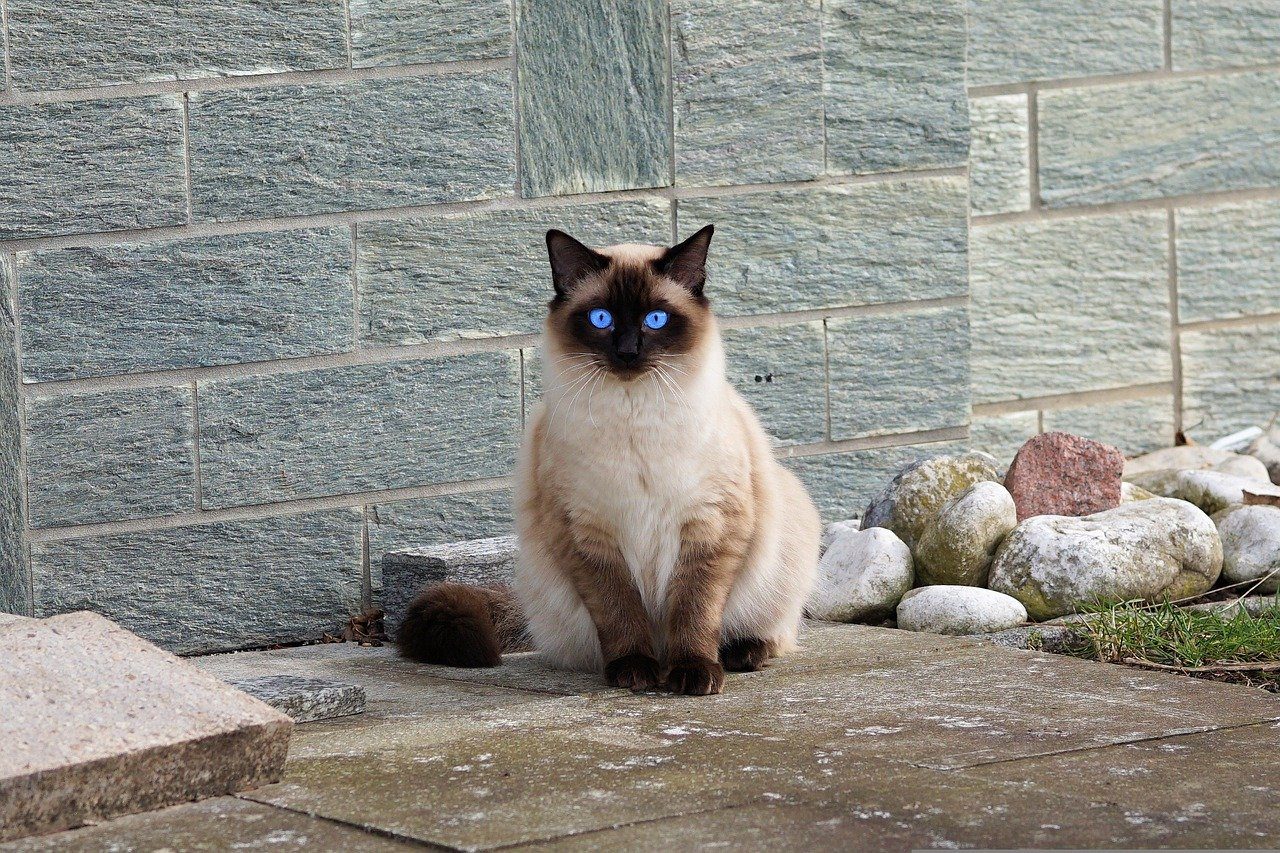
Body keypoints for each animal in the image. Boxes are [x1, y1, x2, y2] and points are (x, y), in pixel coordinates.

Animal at [399, 225, 819, 691]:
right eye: (601, 319)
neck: (632, 419)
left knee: (771, 631)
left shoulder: (709, 527)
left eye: (656, 319)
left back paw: (740, 653)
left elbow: (694, 611)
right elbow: (620, 612)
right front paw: (635, 673)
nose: (628, 352)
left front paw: (693, 674)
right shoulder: (588, 535)